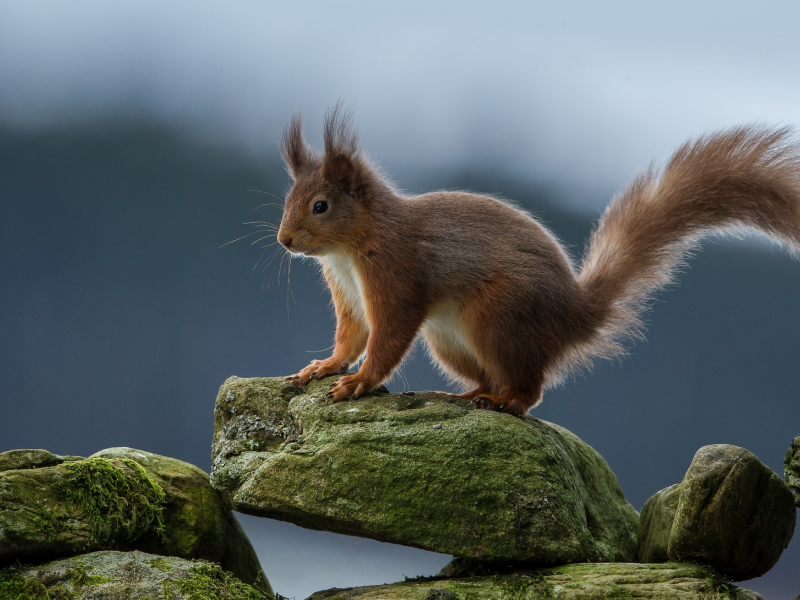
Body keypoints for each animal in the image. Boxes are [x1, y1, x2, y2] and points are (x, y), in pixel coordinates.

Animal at [276, 108, 800, 414]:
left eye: (320, 206)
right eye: (288, 199)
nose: (285, 240)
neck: (350, 250)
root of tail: (573, 317)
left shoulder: (396, 273)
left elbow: (387, 337)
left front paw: (359, 382)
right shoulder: (348, 291)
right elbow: (352, 335)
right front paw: (325, 366)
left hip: (496, 318)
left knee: (531, 389)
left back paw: (505, 402)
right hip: (450, 341)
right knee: (498, 377)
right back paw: (473, 394)